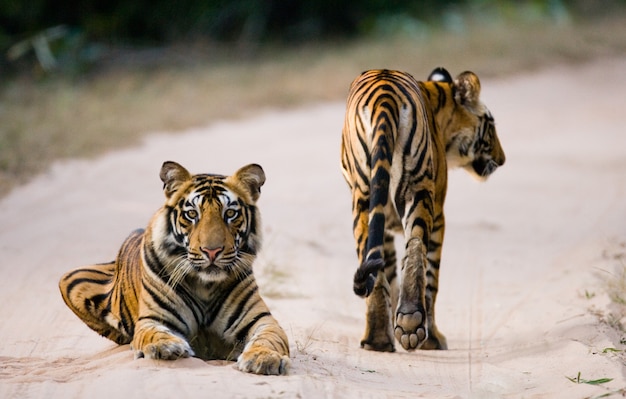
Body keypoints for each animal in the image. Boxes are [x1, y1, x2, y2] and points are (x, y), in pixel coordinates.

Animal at [58, 162, 290, 376]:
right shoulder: (153, 319)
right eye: (192, 214)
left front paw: (264, 358)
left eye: (230, 213)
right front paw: (166, 346)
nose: (212, 251)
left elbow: (269, 338)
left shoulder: (261, 320)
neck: (205, 286)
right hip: (69, 278)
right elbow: (154, 333)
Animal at [338, 68, 504, 354]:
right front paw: (432, 337)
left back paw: (378, 340)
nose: (502, 159)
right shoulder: (439, 214)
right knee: (417, 249)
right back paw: (412, 325)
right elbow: (431, 278)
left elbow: (390, 272)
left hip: (364, 198)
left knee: (372, 260)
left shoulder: (385, 222)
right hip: (419, 192)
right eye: (491, 126)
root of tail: (384, 94)